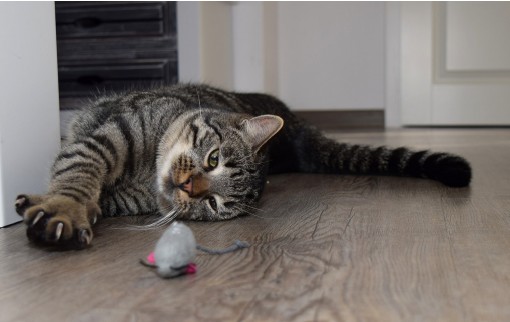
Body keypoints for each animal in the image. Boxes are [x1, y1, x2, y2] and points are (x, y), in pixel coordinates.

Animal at [13, 83, 472, 249]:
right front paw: (63, 209)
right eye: (214, 158)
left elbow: (88, 185)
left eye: (214, 204)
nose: (189, 186)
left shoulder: (122, 189)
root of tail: (299, 130)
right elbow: (77, 175)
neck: (144, 175)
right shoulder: (111, 136)